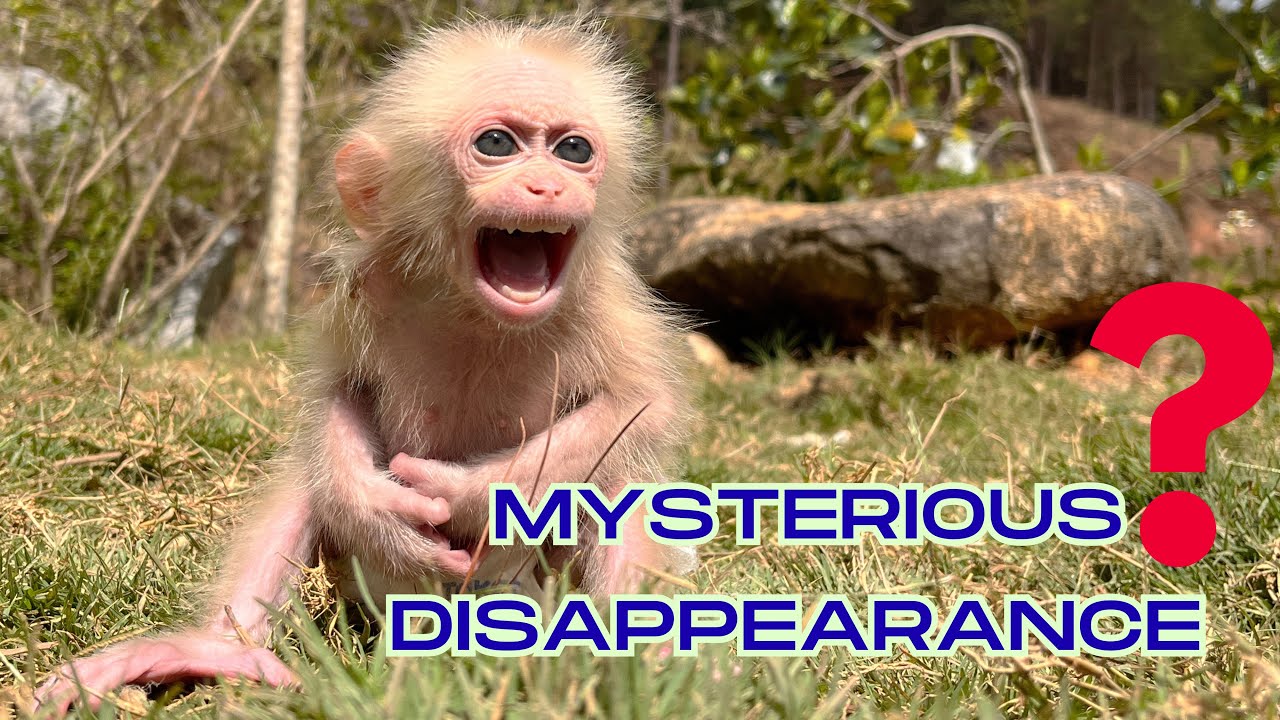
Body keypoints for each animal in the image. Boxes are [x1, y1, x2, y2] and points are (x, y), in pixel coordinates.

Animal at [37, 18, 695, 711]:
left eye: (573, 150)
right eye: (497, 143)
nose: (549, 185)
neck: (475, 313)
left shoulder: (603, 299)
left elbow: (640, 405)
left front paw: (470, 493)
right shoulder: (371, 285)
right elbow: (338, 393)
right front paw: (373, 511)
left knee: (621, 480)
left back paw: (625, 665)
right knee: (310, 478)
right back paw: (217, 650)